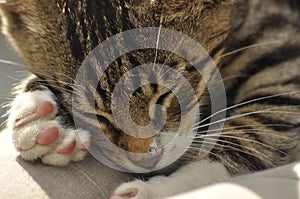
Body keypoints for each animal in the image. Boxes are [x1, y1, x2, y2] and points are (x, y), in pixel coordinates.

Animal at [0, 0, 300, 198]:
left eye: (166, 94)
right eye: (90, 111)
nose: (146, 161)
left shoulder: (283, 51)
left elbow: (259, 127)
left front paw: (156, 189)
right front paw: (40, 118)